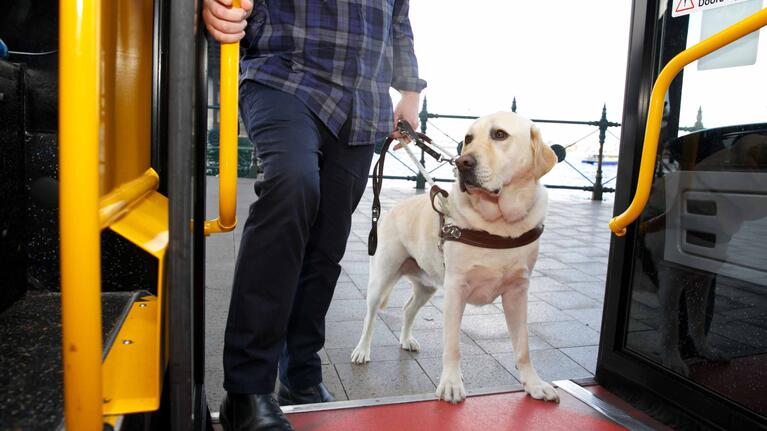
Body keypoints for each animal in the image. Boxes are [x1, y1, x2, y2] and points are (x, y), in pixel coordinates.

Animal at [352, 112, 560, 404]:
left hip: (426, 285)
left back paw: (406, 340)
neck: (498, 226)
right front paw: (451, 384)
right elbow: (452, 345)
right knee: (369, 317)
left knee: (408, 308)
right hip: (381, 277)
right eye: (468, 139)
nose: (463, 163)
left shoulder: (518, 292)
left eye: (499, 135)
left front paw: (534, 384)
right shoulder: (455, 290)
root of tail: (395, 208)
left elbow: (523, 346)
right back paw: (362, 350)